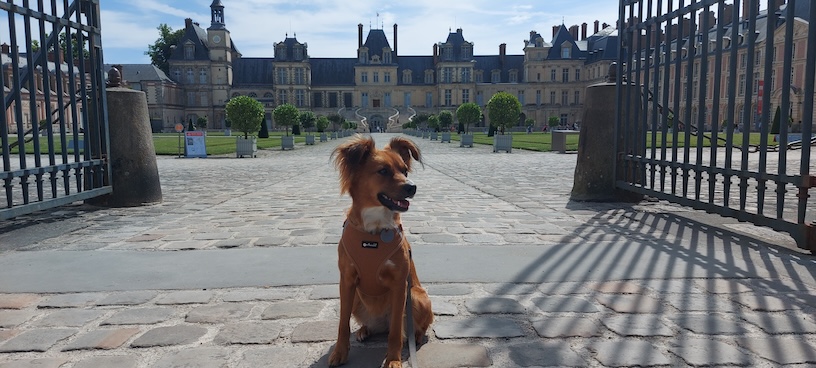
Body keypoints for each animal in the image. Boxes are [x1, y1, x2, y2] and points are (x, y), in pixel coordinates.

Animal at [330, 135, 436, 368]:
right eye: (383, 171)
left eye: (405, 171)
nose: (412, 187)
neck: (374, 232)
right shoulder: (346, 281)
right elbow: (342, 324)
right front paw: (339, 353)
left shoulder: (399, 285)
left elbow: (396, 331)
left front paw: (393, 360)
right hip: (357, 298)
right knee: (372, 326)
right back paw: (364, 330)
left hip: (416, 296)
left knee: (410, 328)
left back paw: (414, 337)